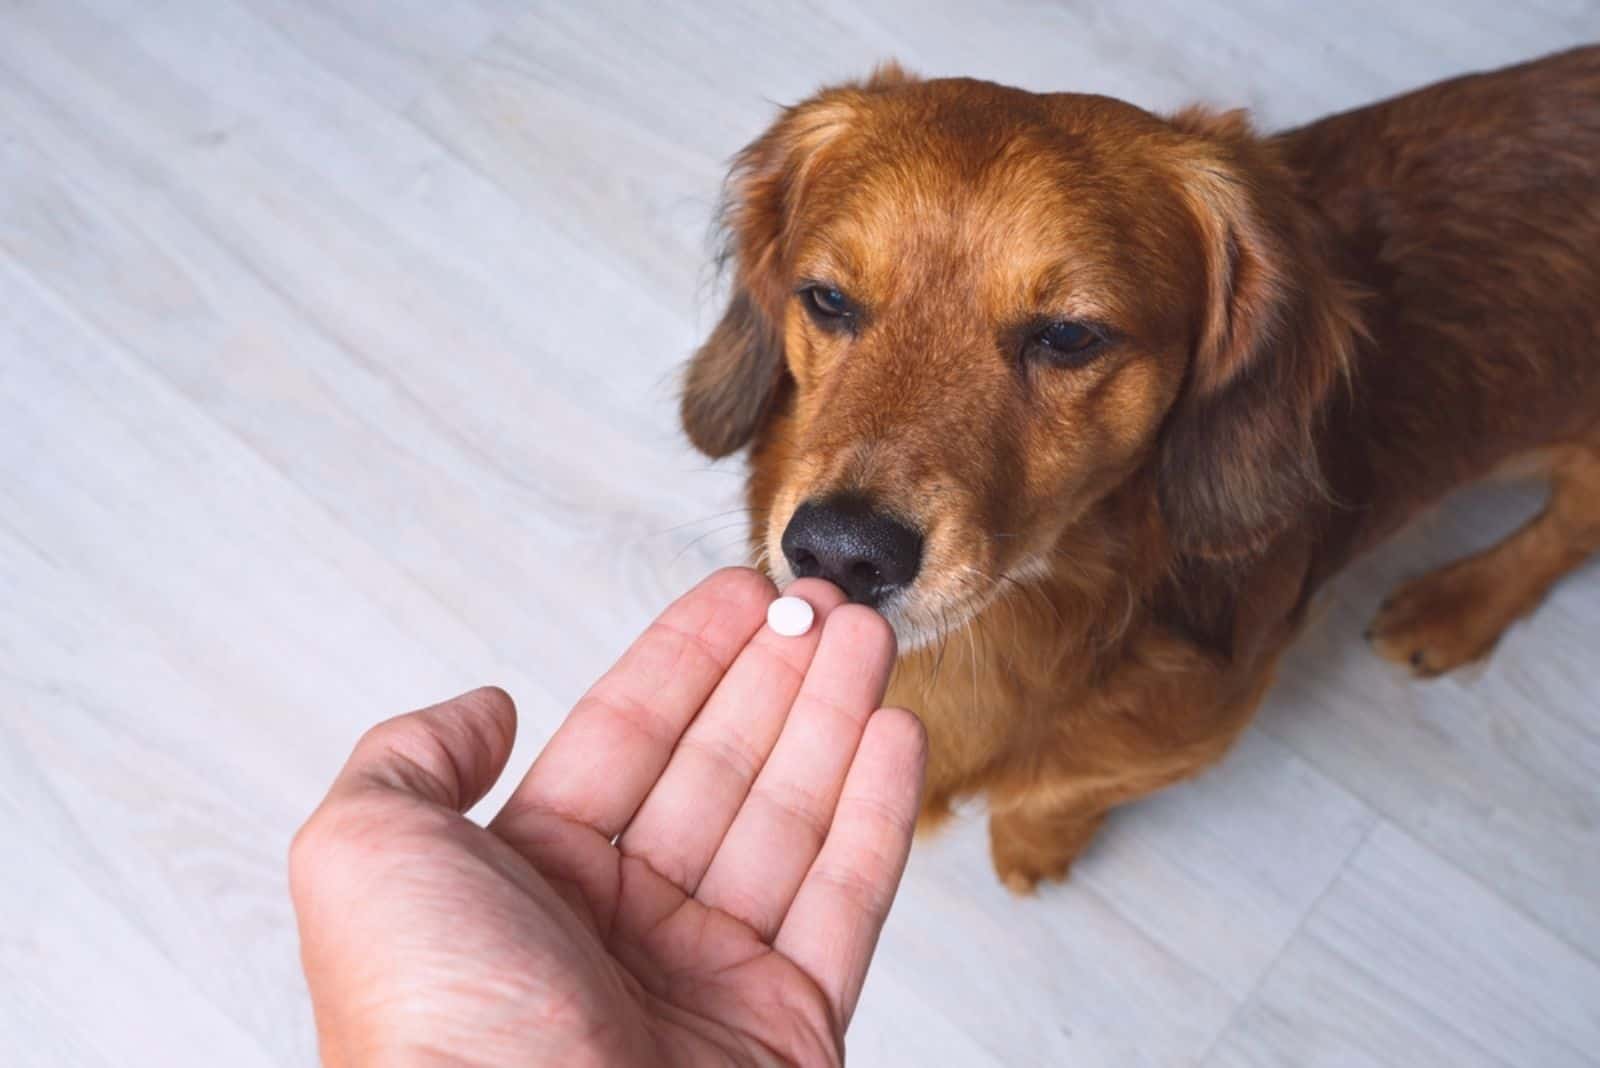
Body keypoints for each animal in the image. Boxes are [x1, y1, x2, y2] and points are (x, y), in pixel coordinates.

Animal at [678, 45, 1600, 888]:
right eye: (827, 299)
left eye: (1068, 335)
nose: (839, 551)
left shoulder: (1192, 733)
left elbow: (1060, 790)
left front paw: (1034, 850)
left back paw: (1457, 605)